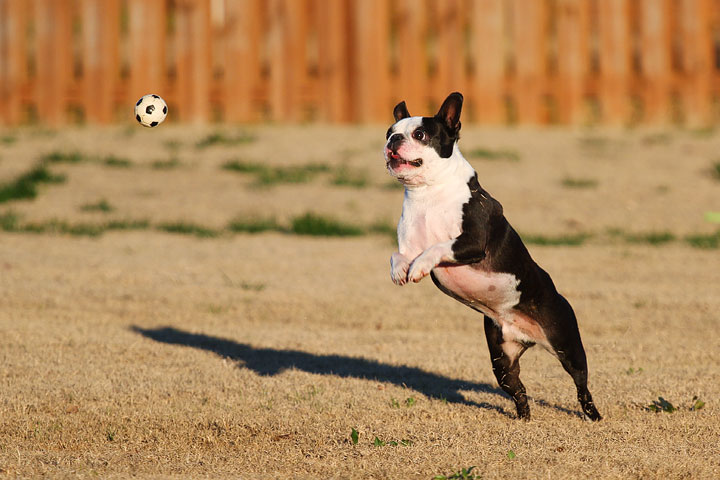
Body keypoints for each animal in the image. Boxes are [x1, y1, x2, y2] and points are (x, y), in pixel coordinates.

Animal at [386, 93, 600, 420]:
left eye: (420, 134)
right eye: (389, 132)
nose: (393, 139)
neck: (429, 194)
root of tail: (528, 337)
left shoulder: (471, 243)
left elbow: (436, 248)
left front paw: (420, 266)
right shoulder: (409, 245)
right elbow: (396, 255)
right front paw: (400, 271)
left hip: (568, 344)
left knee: (581, 384)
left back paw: (592, 415)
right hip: (502, 360)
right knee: (518, 390)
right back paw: (524, 419)